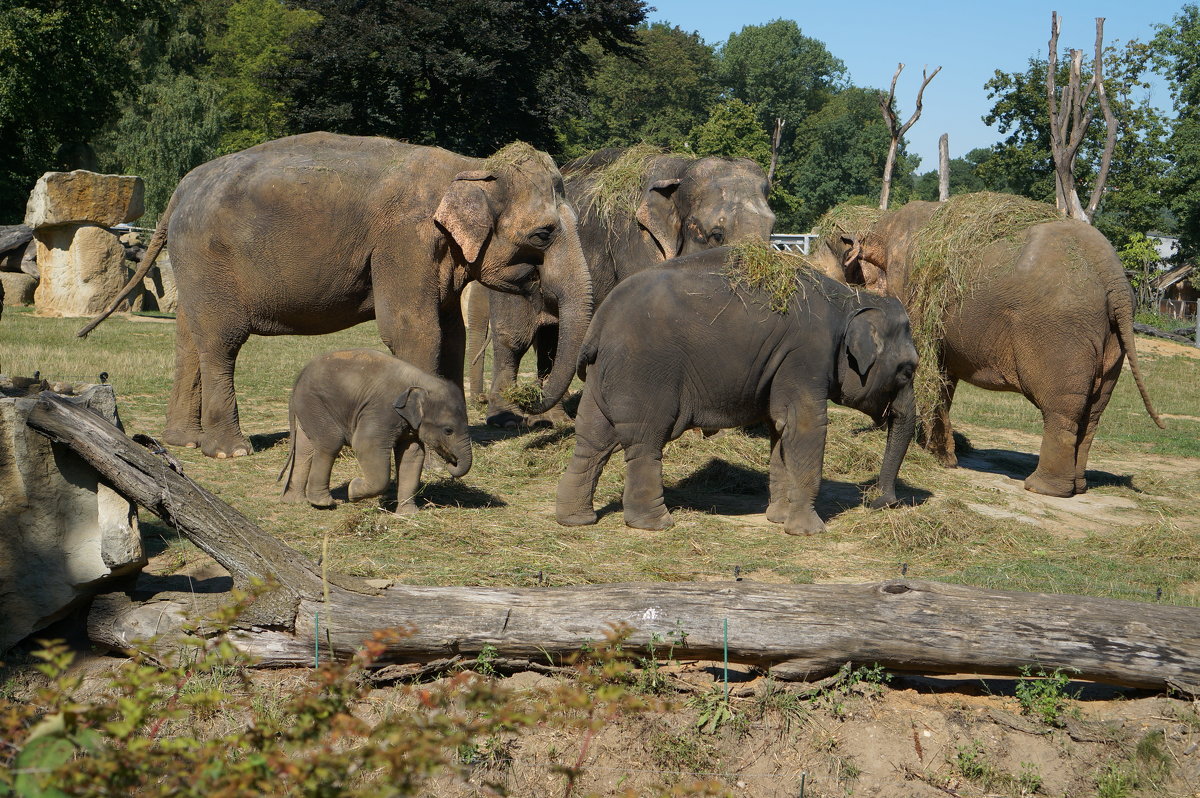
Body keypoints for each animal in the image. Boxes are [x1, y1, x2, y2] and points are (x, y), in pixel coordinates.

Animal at [77, 133, 592, 458]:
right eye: (545, 233)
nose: (532, 407)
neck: (472, 166)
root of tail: (180, 190)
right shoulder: (404, 241)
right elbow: (413, 330)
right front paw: (421, 445)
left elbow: (450, 334)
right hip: (209, 259)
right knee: (222, 342)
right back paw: (229, 451)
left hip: (193, 266)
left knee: (190, 337)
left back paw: (182, 441)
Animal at [278, 348, 470, 511]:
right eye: (448, 430)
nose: (451, 462)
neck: (421, 381)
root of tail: (298, 378)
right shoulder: (381, 411)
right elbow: (365, 445)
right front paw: (353, 490)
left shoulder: (409, 424)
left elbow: (413, 455)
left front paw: (408, 514)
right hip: (316, 403)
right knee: (330, 442)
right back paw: (324, 503)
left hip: (308, 408)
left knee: (305, 448)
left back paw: (295, 501)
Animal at [468, 146, 777, 427]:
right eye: (716, 234)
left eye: (772, 229)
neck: (681, 169)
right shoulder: (634, 243)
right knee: (514, 339)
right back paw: (506, 420)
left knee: (551, 340)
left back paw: (556, 420)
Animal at [554, 247, 916, 535]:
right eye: (907, 370)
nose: (880, 502)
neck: (851, 300)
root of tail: (600, 321)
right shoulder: (805, 356)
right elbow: (805, 426)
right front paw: (808, 531)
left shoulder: (782, 365)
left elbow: (779, 429)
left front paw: (777, 519)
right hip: (643, 373)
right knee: (645, 441)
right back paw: (655, 524)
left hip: (603, 378)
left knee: (592, 440)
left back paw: (575, 520)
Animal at [825, 195, 1161, 494]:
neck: (882, 224)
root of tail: (1115, 278)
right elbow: (943, 377)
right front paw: (937, 453)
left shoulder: (912, 289)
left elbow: (929, 368)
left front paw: (940, 458)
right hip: (1112, 341)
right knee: (1093, 412)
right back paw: (1078, 487)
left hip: (1063, 335)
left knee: (1063, 410)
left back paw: (1042, 488)